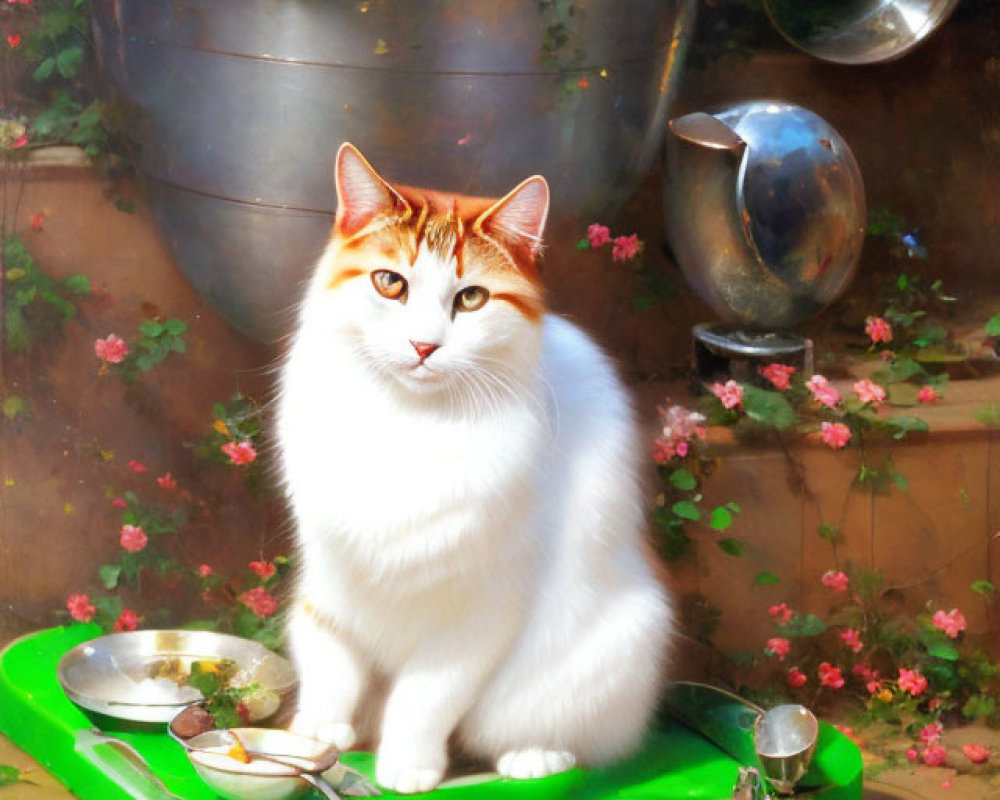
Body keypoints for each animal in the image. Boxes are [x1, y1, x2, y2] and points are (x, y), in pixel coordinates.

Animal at [278, 144, 676, 792]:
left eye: (471, 299)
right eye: (390, 283)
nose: (423, 347)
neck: (405, 423)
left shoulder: (477, 615)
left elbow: (422, 699)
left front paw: (406, 766)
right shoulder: (330, 580)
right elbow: (332, 663)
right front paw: (317, 735)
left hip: (614, 644)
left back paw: (533, 758)